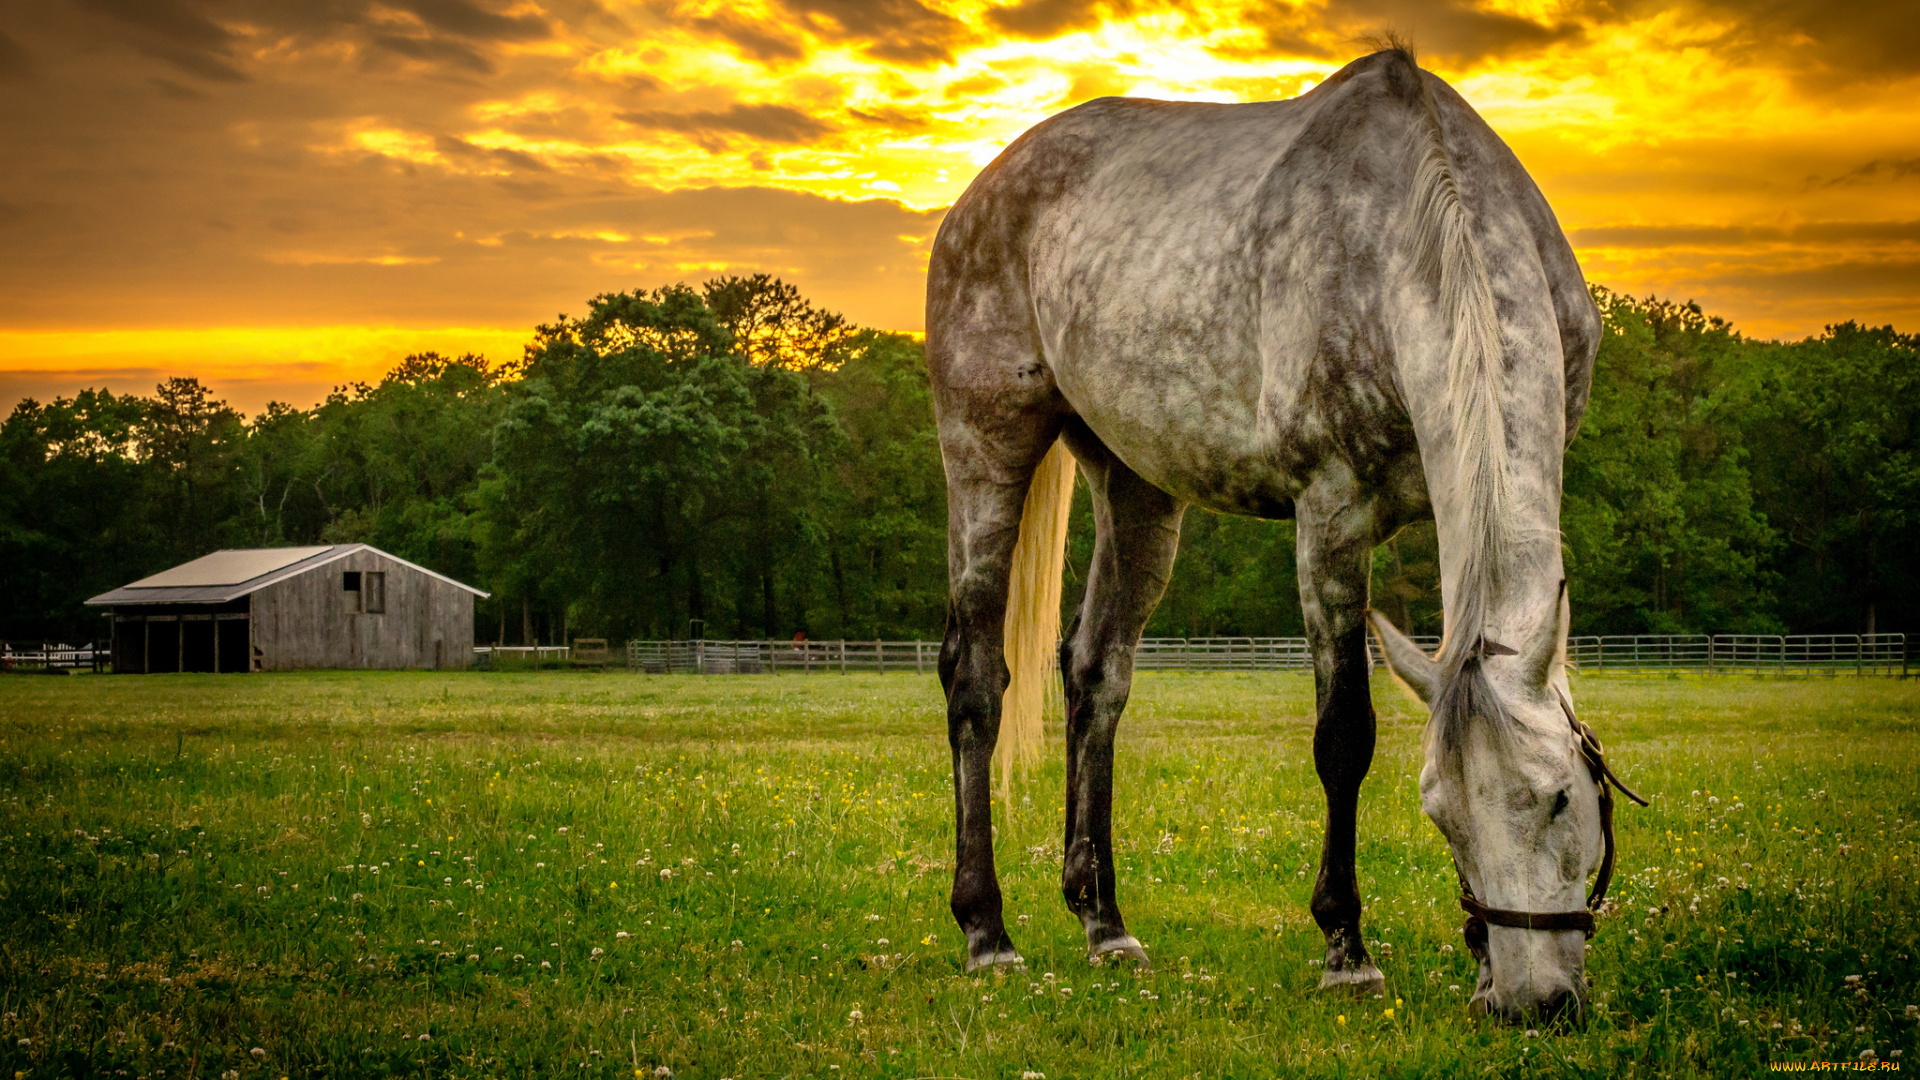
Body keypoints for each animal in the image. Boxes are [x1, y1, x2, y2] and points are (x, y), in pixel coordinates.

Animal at [929, 48, 1620, 1014]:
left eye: (1562, 796)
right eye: (1440, 812)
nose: (1532, 1002)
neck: (1416, 223)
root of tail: (980, 194)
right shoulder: (1331, 515)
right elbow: (1344, 736)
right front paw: (1346, 947)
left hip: (1135, 488)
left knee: (1096, 676)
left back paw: (1105, 923)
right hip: (985, 454)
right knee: (975, 681)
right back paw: (986, 931)